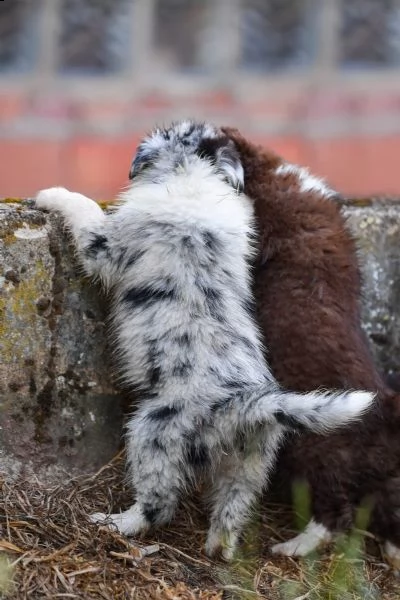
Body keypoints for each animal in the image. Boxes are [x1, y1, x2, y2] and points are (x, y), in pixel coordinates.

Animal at [36, 119, 374, 560]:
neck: (192, 173)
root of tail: (249, 405)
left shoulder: (107, 245)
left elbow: (84, 209)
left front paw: (48, 194)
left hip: (153, 434)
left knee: (157, 506)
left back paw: (115, 523)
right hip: (248, 465)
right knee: (231, 514)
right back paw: (219, 548)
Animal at [223, 126, 400, 568]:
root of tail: (385, 413)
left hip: (317, 448)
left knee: (334, 514)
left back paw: (290, 546)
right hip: (380, 473)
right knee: (389, 513)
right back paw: (394, 555)